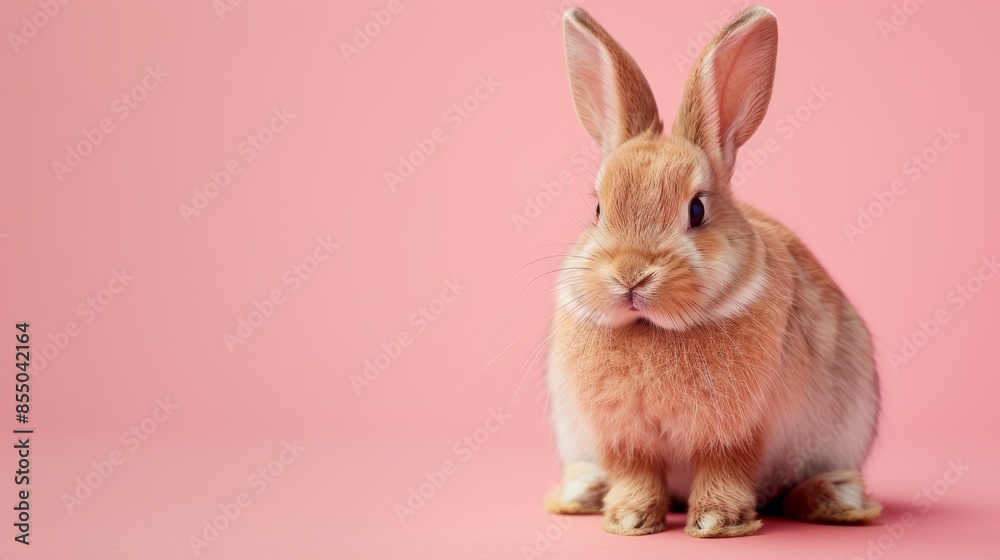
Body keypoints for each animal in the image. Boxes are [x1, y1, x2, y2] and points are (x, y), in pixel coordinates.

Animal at [543, 6, 882, 537]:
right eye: (598, 209)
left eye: (697, 210)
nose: (631, 274)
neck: (651, 330)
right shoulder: (625, 436)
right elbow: (636, 471)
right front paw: (630, 519)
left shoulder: (741, 430)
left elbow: (726, 467)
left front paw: (715, 523)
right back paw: (584, 493)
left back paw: (836, 500)